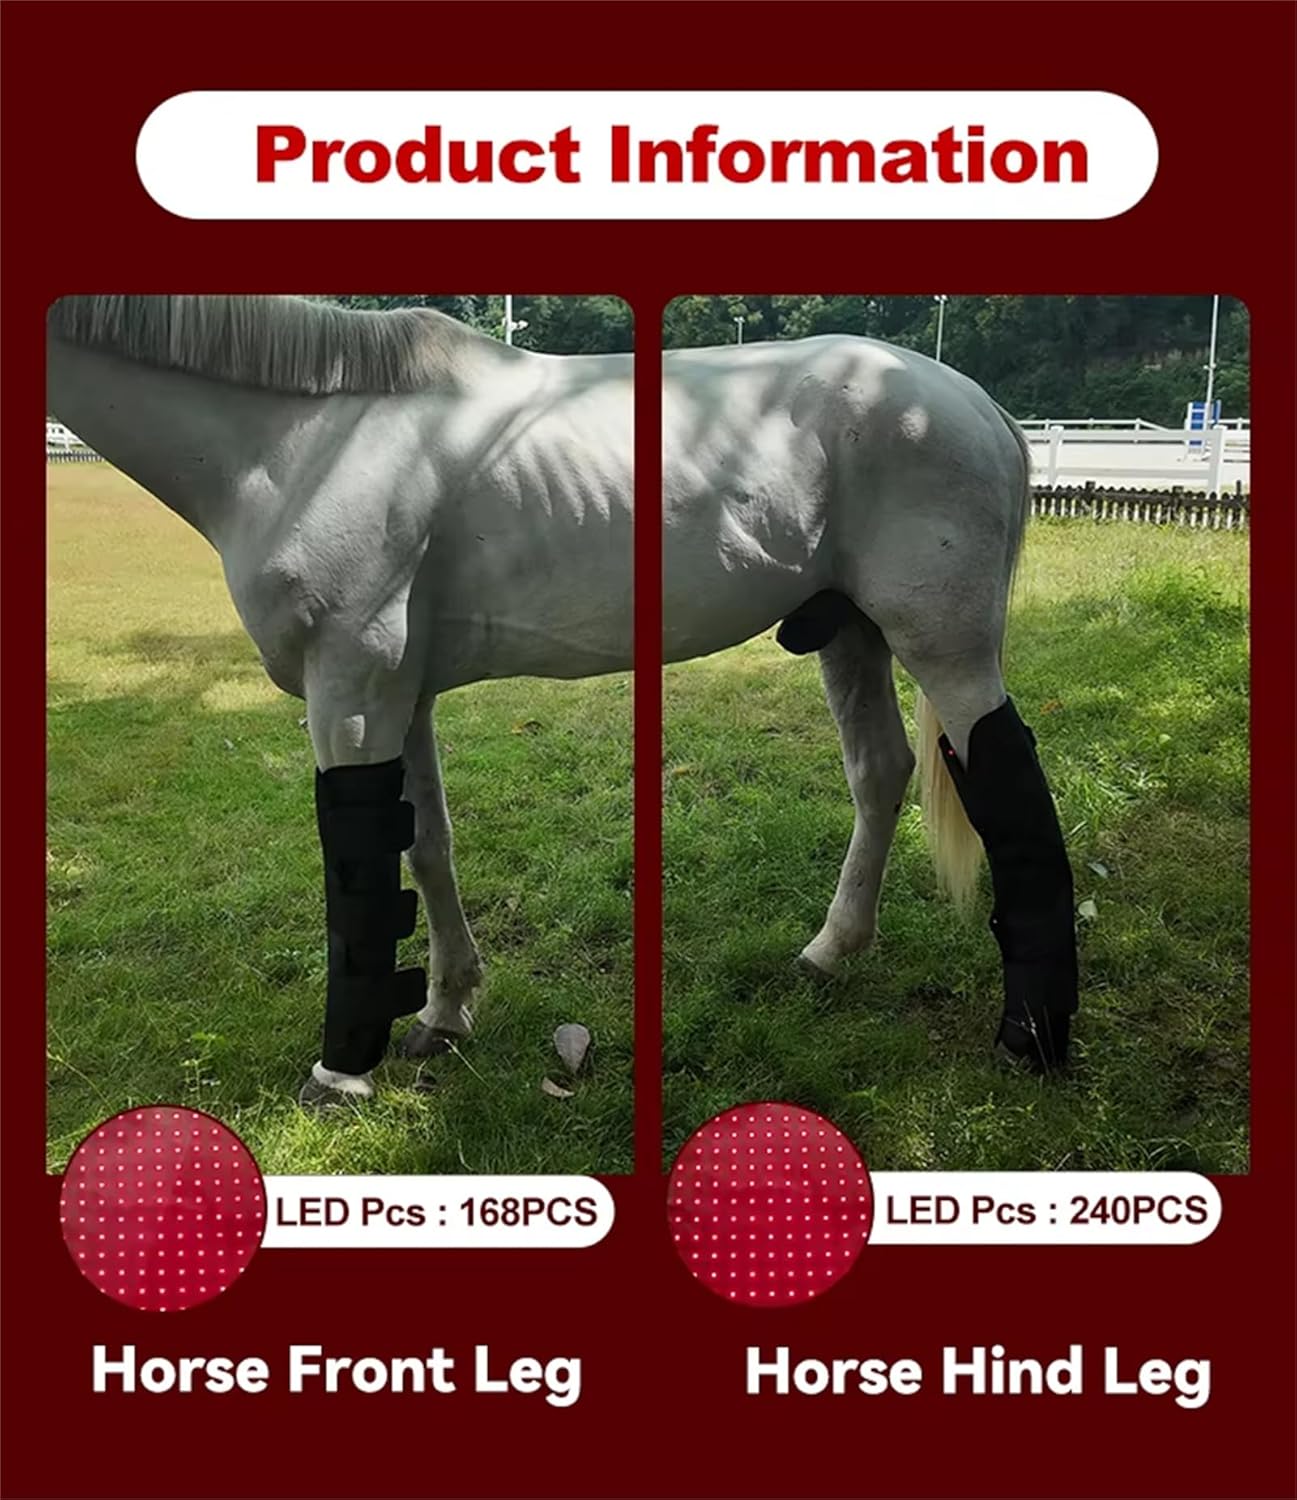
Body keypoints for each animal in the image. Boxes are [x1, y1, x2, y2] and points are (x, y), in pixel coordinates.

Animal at [47, 295, 633, 1107]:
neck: (306, 447)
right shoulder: (404, 693)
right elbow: (426, 846)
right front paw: (444, 1013)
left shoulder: (350, 689)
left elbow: (358, 868)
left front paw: (342, 1072)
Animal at [662, 334, 1077, 1070]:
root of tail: (980, 406)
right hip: (851, 633)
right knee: (882, 769)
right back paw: (833, 946)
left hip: (943, 647)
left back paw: (1030, 1028)